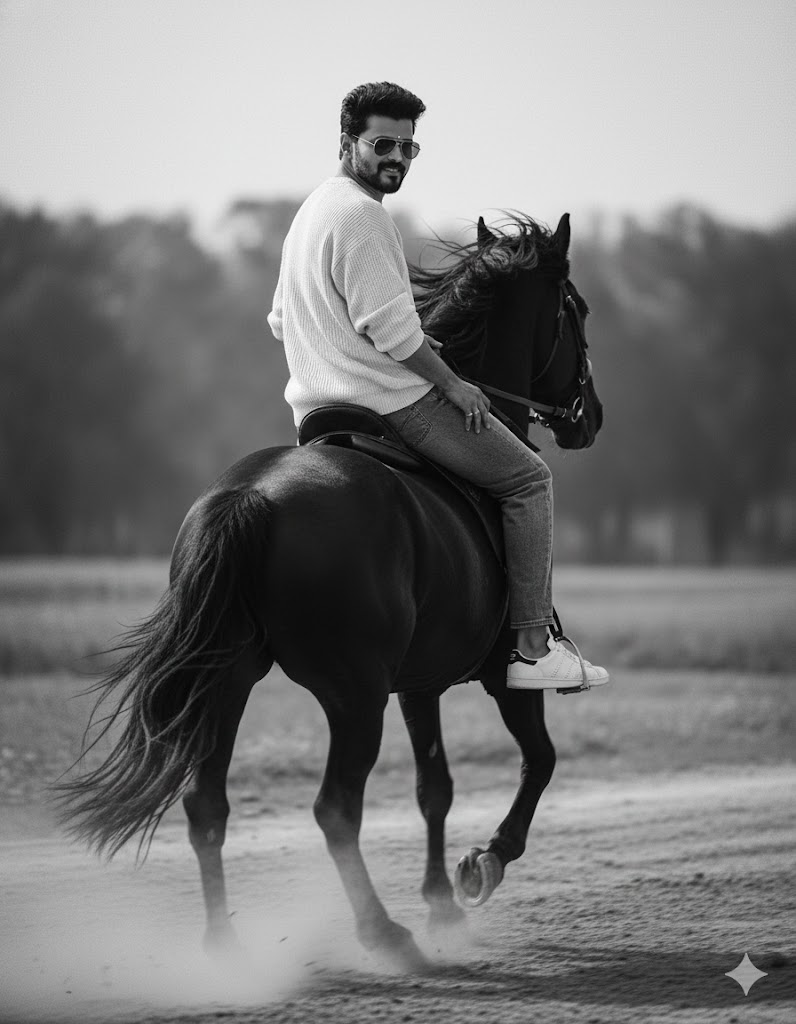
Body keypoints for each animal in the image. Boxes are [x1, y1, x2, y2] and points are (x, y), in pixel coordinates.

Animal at [57, 211, 603, 972]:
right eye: (576, 309)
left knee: (208, 805)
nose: (591, 416)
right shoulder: (501, 676)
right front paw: (481, 867)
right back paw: (382, 933)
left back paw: (225, 947)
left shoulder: (420, 683)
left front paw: (441, 901)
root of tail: (251, 497)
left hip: (229, 681)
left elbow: (434, 786)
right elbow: (540, 762)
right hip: (352, 695)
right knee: (335, 808)